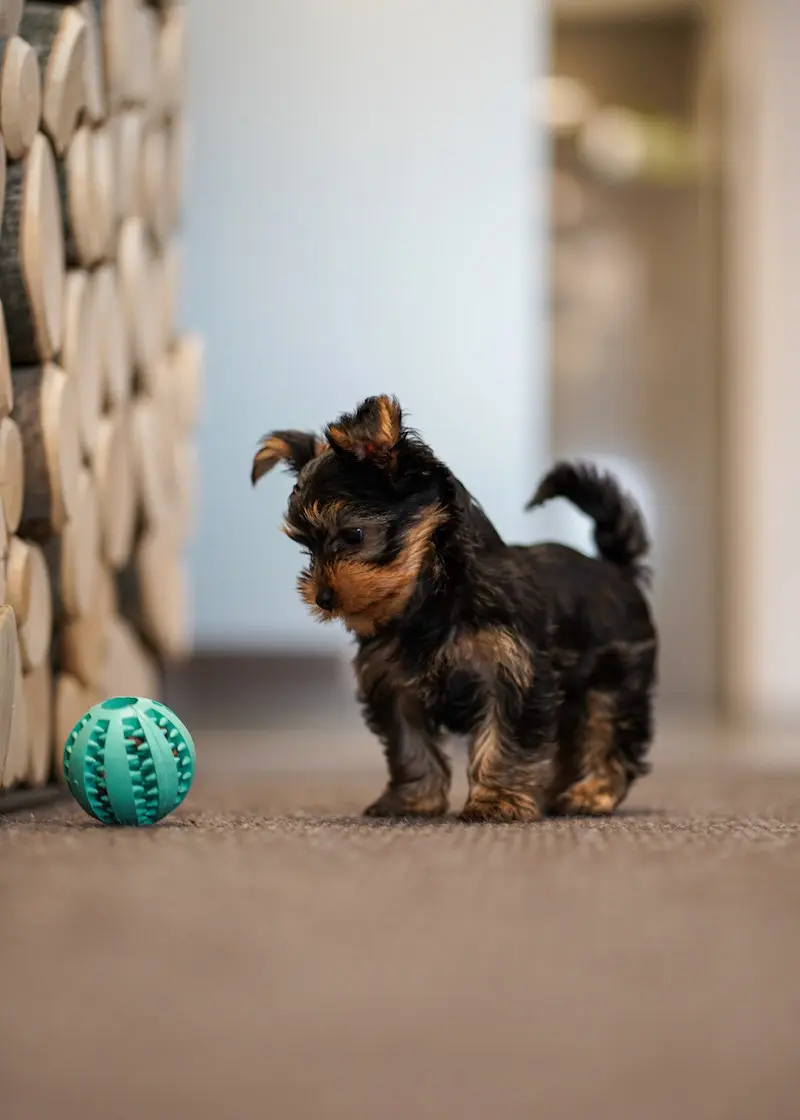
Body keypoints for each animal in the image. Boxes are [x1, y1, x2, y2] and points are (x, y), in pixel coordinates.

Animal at [250, 394, 654, 824]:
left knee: (608, 732)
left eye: (353, 535)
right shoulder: (392, 684)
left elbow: (506, 740)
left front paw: (498, 800)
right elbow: (409, 746)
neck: (431, 597)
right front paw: (411, 800)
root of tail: (615, 568)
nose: (322, 598)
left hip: (615, 679)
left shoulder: (513, 674)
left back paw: (592, 793)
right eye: (306, 549)